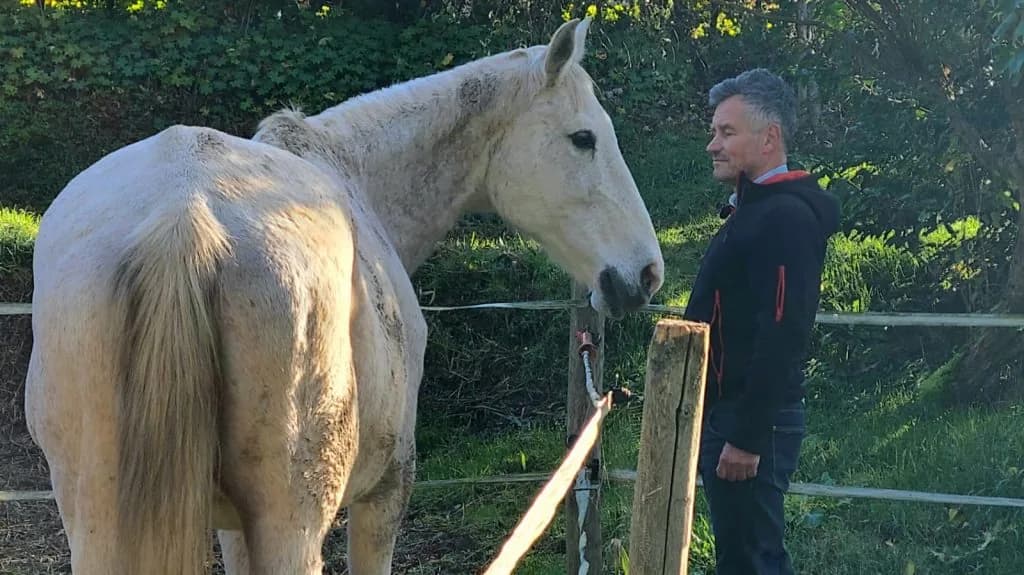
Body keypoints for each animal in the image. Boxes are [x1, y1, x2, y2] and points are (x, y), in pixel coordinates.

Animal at [25, 17, 664, 574]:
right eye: (583, 139)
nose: (647, 273)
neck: (353, 172)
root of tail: (182, 215)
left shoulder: (232, 525)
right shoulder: (387, 489)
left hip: (100, 521)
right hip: (293, 526)